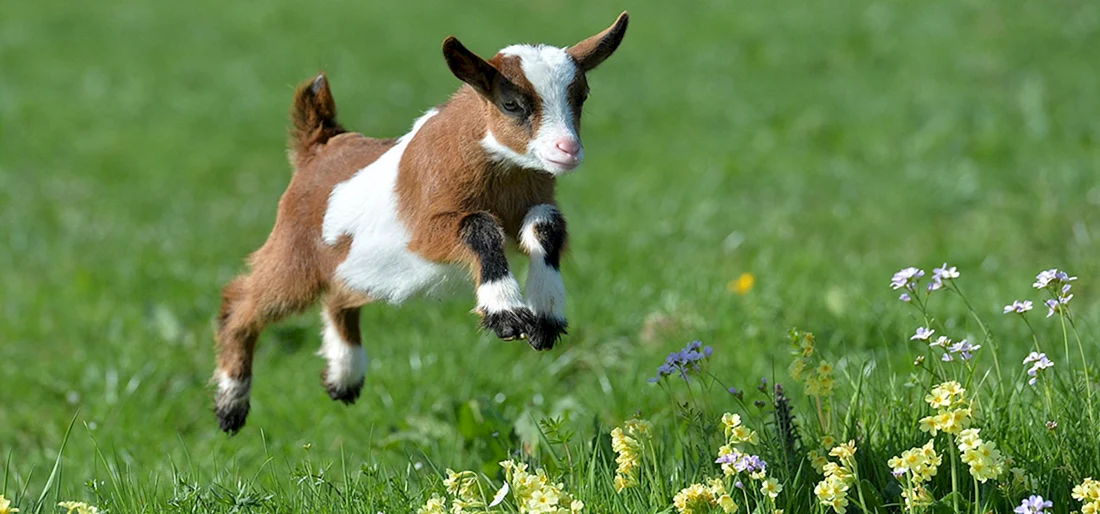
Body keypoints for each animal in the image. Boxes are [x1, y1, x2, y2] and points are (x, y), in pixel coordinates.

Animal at [213, 12, 629, 433]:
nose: (568, 150)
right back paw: (231, 404)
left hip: (354, 265)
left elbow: (547, 225)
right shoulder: (424, 232)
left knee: (338, 297)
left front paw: (545, 317)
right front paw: (505, 314)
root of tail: (318, 147)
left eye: (581, 96)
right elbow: (479, 225)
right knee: (242, 301)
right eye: (511, 104)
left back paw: (344, 377)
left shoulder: (533, 202)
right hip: (295, 254)